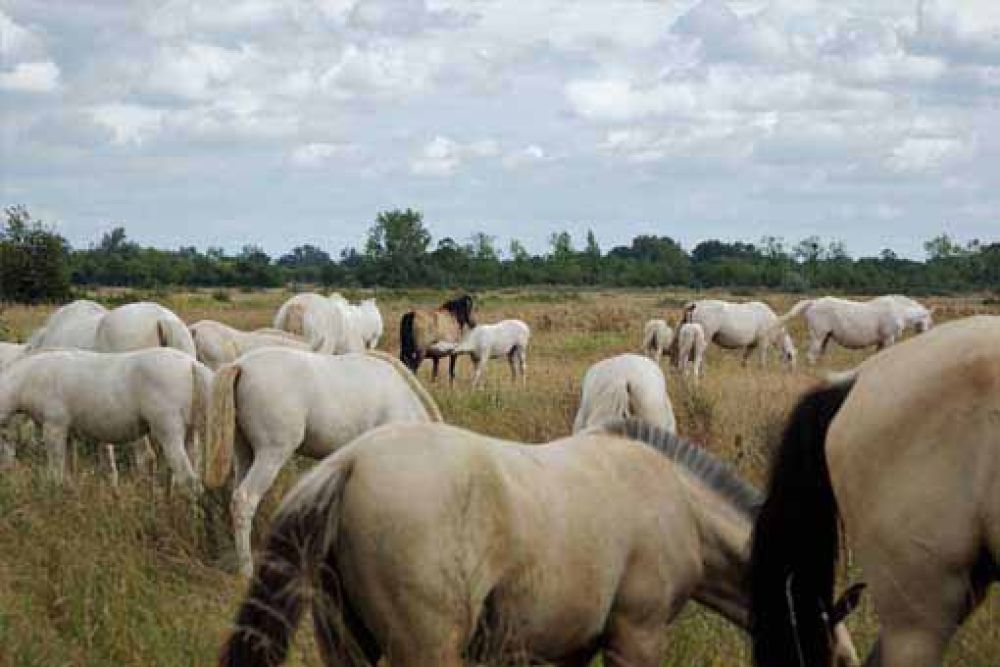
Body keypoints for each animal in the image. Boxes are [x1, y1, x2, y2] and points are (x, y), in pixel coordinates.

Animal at [0, 348, 210, 494]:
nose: (7, 473)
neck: (31, 378)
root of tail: (190, 363)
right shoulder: (68, 433)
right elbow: (67, 470)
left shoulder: (54, 427)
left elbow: (55, 470)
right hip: (190, 433)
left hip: (168, 432)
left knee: (189, 481)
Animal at [219, 418, 863, 667]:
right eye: (836, 656)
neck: (678, 501)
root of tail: (349, 463)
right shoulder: (636, 637)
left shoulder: (573, 646)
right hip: (426, 649)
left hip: (347, 640)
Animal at [773, 295, 932, 364]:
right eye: (930, 322)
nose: (926, 337)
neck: (900, 310)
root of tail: (814, 302)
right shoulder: (888, 339)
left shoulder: (881, 341)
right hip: (818, 335)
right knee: (811, 355)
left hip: (825, 337)